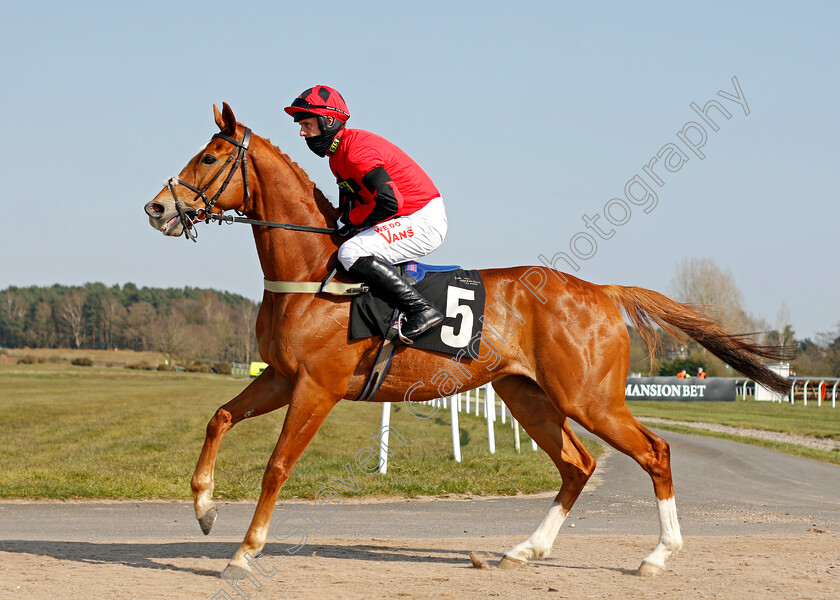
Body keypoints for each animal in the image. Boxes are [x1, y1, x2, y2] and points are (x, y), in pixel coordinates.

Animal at [144, 105, 796, 580]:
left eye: (209, 157)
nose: (156, 208)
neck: (312, 272)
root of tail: (602, 291)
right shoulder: (281, 377)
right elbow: (219, 417)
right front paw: (204, 509)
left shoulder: (317, 387)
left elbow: (278, 464)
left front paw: (244, 551)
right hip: (526, 394)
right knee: (577, 464)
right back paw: (523, 550)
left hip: (590, 399)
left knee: (653, 453)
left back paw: (657, 556)